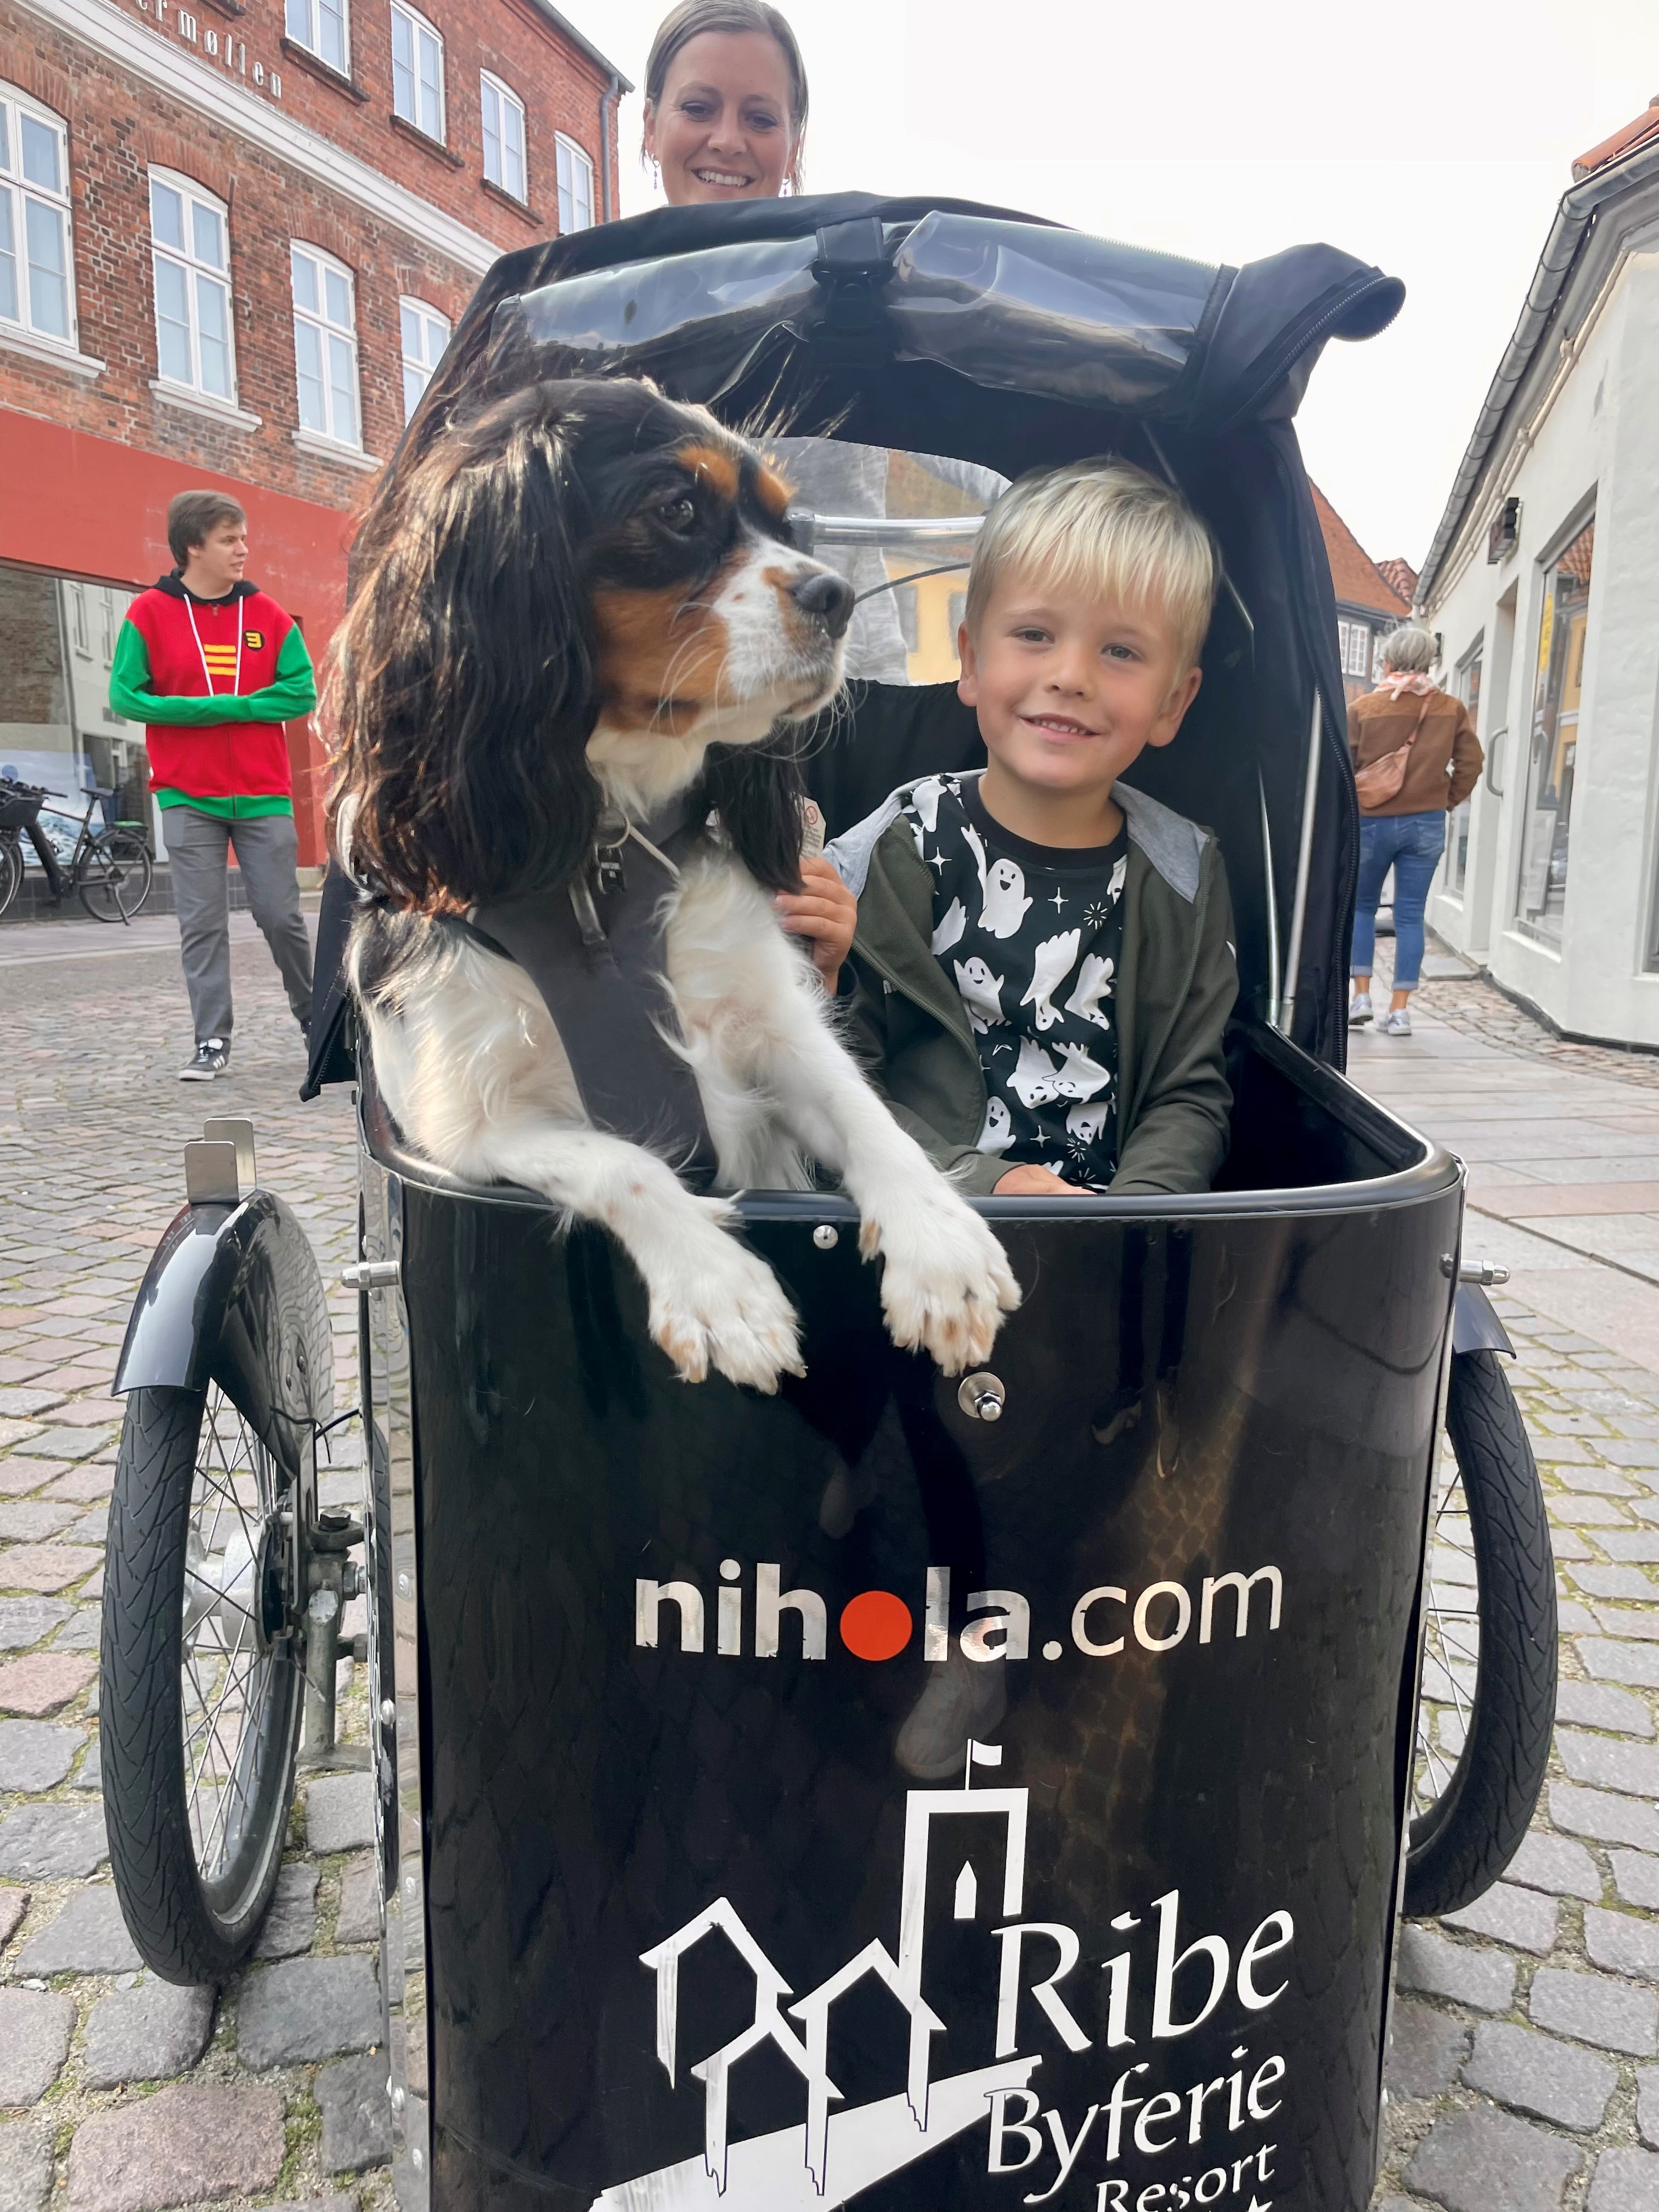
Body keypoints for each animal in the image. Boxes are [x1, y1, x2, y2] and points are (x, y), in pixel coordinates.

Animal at [332, 377, 1019, 1393]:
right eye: (678, 511)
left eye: (786, 523)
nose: (838, 594)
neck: (600, 857)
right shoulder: (468, 1129)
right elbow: (623, 1166)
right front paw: (719, 1290)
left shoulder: (774, 1027)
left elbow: (862, 1110)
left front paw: (941, 1249)